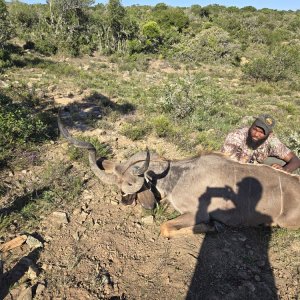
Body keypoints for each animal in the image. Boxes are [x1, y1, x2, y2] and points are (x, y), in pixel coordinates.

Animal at [58, 116, 300, 238]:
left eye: (134, 188)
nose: (125, 201)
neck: (180, 176)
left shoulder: (195, 213)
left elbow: (166, 227)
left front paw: (214, 227)